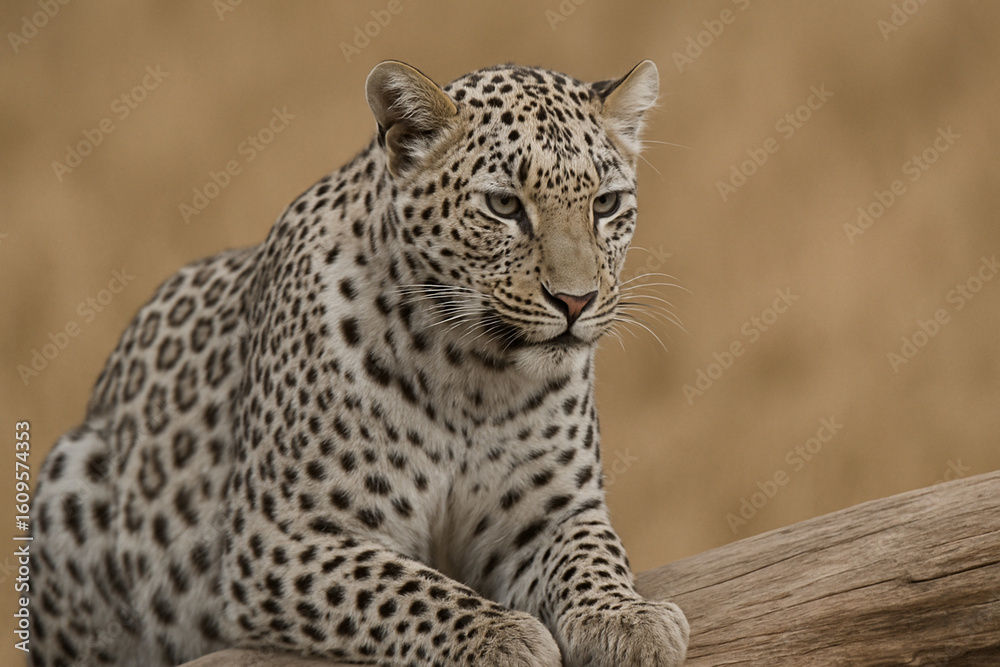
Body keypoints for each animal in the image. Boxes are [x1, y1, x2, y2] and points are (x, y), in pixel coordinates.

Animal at [28, 59, 689, 666]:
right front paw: (501, 636)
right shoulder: (284, 535)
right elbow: (409, 590)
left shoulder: (553, 512)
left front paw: (629, 619)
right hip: (72, 477)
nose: (576, 301)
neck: (475, 375)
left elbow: (593, 557)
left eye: (606, 204)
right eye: (504, 204)